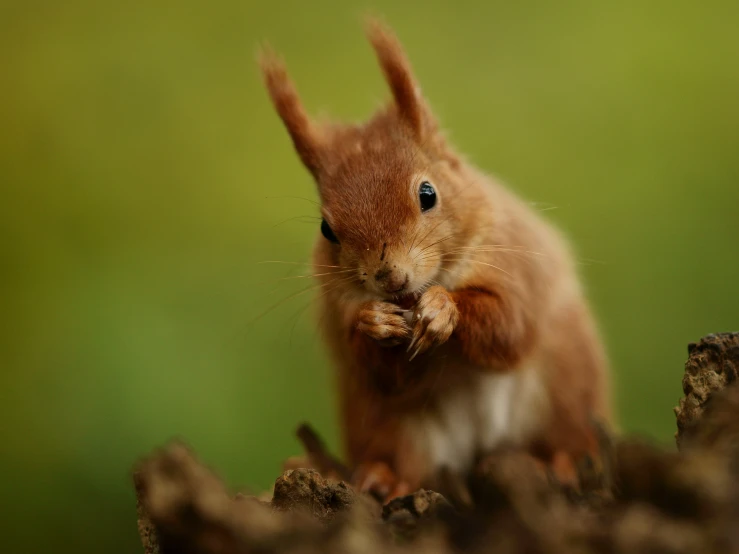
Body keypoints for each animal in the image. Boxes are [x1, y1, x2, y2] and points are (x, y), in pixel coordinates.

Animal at [260, 19, 612, 498]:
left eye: (428, 193)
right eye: (326, 229)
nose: (389, 277)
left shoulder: (515, 264)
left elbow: (509, 326)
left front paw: (444, 309)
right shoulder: (340, 312)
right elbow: (378, 371)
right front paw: (375, 322)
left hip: (564, 390)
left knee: (566, 435)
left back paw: (564, 462)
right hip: (391, 428)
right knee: (406, 463)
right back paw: (382, 478)